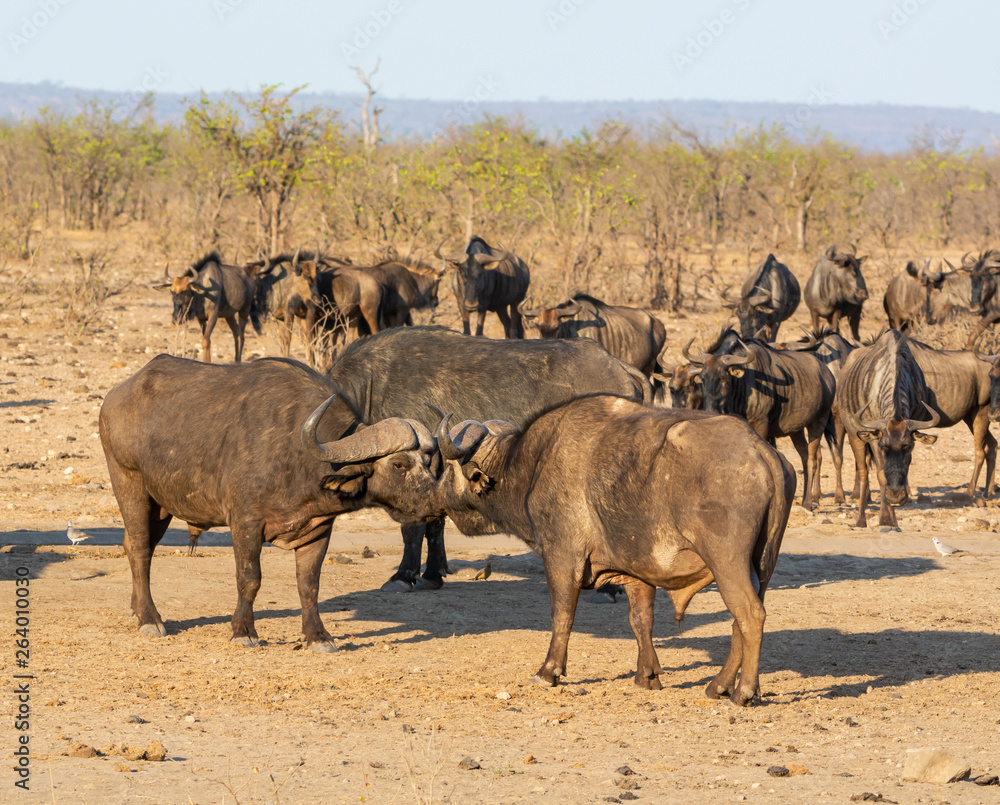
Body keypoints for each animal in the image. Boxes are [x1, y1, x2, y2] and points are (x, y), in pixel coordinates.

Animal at [100, 354, 442, 652]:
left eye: (428, 461)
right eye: (399, 464)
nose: (437, 503)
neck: (297, 454)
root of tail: (115, 396)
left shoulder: (318, 529)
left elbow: (309, 584)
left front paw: (318, 636)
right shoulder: (245, 523)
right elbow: (249, 578)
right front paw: (243, 631)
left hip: (161, 505)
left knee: (138, 546)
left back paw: (138, 609)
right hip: (129, 483)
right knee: (140, 548)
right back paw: (150, 619)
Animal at [434, 398, 792, 704]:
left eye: (447, 469)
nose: (433, 495)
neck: (533, 464)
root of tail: (760, 449)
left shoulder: (562, 557)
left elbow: (562, 615)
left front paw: (549, 672)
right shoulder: (637, 573)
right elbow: (640, 620)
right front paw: (647, 675)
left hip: (727, 563)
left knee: (749, 615)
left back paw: (742, 692)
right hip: (763, 566)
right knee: (740, 621)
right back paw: (720, 685)